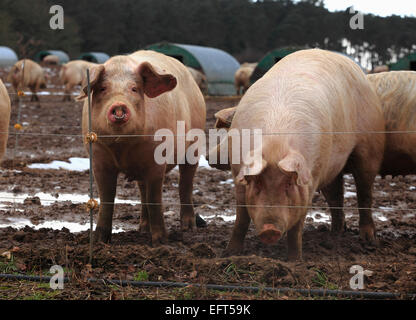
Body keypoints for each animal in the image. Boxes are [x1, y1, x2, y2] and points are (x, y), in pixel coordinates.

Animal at [77, 50, 206, 245]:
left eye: (134, 89)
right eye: (103, 88)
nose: (119, 106)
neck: (122, 146)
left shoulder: (156, 160)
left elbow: (154, 198)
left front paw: (161, 243)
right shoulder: (98, 159)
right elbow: (106, 198)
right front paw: (99, 241)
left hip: (195, 147)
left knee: (185, 184)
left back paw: (189, 228)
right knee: (142, 190)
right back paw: (143, 229)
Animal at [223, 49, 386, 260]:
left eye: (288, 183)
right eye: (258, 183)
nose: (269, 230)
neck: (275, 144)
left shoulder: (310, 182)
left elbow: (297, 226)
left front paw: (294, 260)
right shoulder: (237, 172)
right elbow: (241, 217)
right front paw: (230, 253)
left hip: (370, 146)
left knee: (365, 193)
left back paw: (368, 240)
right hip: (331, 167)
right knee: (336, 195)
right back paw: (335, 233)